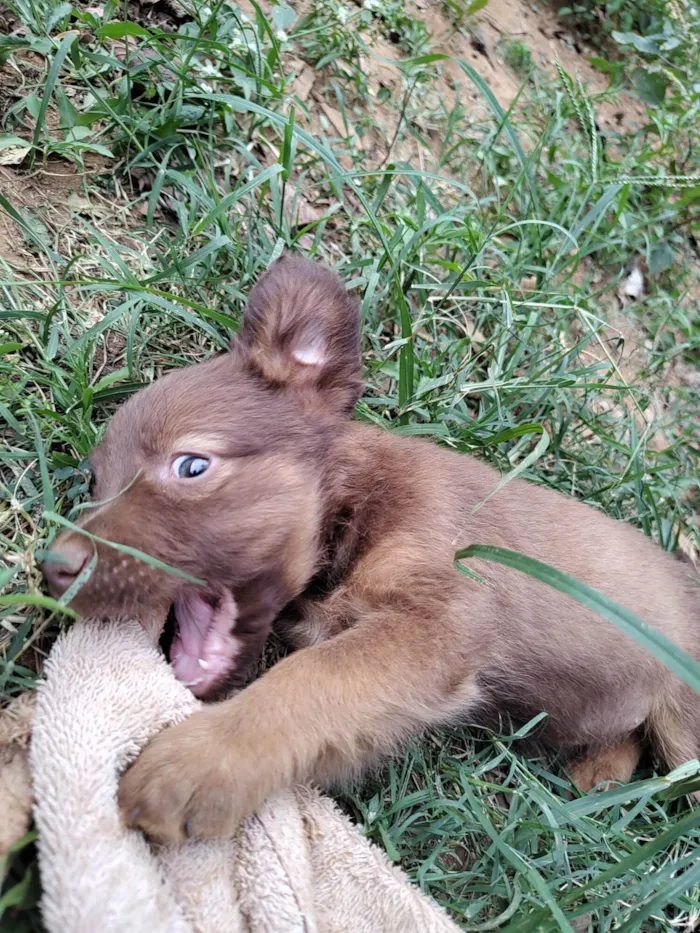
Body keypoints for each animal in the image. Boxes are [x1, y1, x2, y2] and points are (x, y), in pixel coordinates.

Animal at [43, 256, 700, 844]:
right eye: (93, 482)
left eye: (191, 466)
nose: (53, 569)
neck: (354, 510)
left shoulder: (437, 622)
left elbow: (308, 677)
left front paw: (204, 760)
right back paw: (601, 772)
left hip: (684, 714)